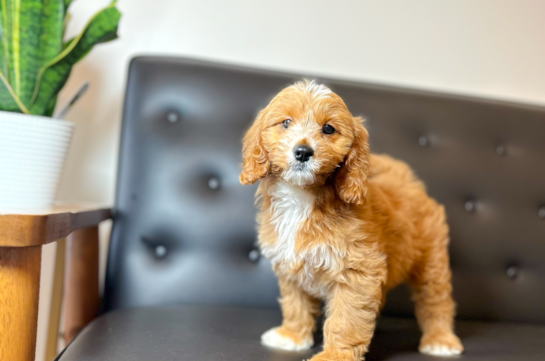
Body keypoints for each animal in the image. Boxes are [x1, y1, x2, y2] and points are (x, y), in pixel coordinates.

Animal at [240, 80, 462, 358]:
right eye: (286, 122)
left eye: (328, 129)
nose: (303, 152)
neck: (302, 196)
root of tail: (410, 184)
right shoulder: (289, 263)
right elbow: (295, 303)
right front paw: (291, 336)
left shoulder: (357, 271)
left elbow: (346, 318)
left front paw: (334, 356)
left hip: (432, 260)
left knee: (435, 299)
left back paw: (440, 339)